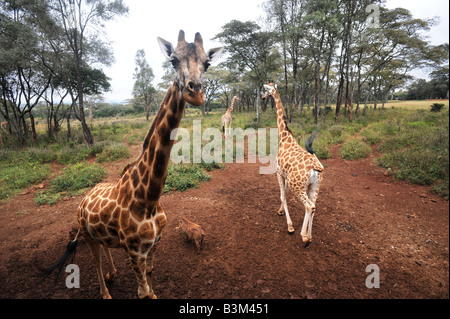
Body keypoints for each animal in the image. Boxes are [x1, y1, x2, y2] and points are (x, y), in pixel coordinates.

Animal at [44, 30, 223, 300]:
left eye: (207, 63)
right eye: (172, 60)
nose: (196, 93)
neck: (147, 198)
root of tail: (84, 199)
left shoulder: (154, 245)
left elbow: (150, 278)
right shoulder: (135, 251)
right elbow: (143, 292)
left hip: (99, 234)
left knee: (105, 249)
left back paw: (113, 274)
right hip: (85, 233)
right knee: (95, 260)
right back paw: (105, 292)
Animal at [260, 81, 324, 246]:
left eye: (265, 90)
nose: (262, 97)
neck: (284, 136)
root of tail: (316, 168)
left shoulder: (279, 172)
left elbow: (283, 196)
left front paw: (289, 226)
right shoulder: (287, 176)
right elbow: (285, 195)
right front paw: (280, 211)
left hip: (299, 187)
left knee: (308, 206)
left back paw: (304, 236)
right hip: (314, 187)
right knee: (314, 206)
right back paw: (310, 236)